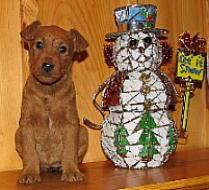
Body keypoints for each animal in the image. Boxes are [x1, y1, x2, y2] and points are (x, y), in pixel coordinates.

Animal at [15, 20, 88, 184]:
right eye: (39, 44)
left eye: (63, 49)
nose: (47, 65)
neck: (48, 90)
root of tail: (50, 164)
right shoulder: (26, 124)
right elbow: (30, 153)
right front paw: (29, 173)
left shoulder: (71, 124)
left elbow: (69, 151)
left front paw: (71, 171)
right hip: (17, 134)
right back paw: (42, 167)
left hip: (83, 131)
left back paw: (60, 167)